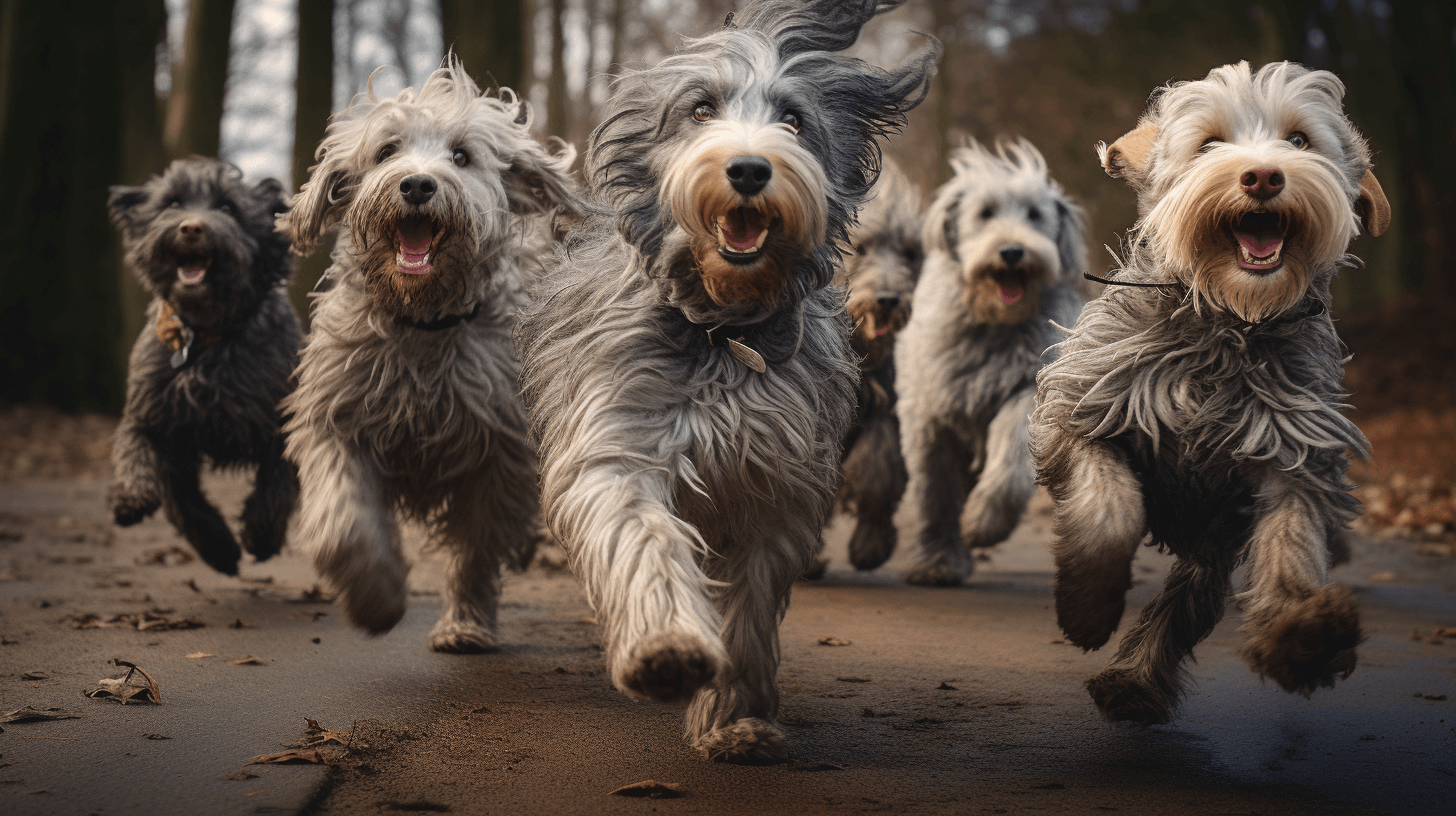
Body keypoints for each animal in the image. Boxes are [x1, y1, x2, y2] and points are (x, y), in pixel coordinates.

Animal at [107, 153, 304, 574]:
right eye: (173, 203)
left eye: (228, 208)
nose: (191, 227)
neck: (204, 337)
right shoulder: (153, 419)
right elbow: (159, 476)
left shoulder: (283, 425)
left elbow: (276, 487)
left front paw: (261, 535)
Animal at [278, 59, 579, 649]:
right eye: (386, 151)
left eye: (461, 156)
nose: (417, 183)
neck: (422, 322)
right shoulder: (337, 420)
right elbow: (342, 522)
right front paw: (376, 599)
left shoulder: (498, 450)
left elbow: (477, 550)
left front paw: (466, 623)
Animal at [518, 0, 937, 763]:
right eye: (701, 109)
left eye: (794, 119)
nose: (748, 168)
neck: (723, 333)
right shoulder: (621, 439)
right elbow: (643, 536)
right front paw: (666, 648)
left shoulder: (773, 481)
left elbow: (751, 605)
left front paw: (735, 718)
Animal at [891, 139, 1089, 585]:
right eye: (984, 213)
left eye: (1034, 214)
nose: (1013, 251)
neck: (996, 322)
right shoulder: (931, 413)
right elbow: (935, 491)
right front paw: (938, 562)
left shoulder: (1026, 389)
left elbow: (1011, 461)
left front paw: (982, 524)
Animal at [1030, 63, 1391, 725]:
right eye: (1208, 144)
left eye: (1299, 140)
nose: (1263, 175)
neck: (1227, 324)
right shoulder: (1083, 414)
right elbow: (1109, 508)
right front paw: (1087, 603)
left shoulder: (1293, 453)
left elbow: (1291, 540)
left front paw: (1304, 632)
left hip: (1212, 546)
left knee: (1184, 604)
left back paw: (1137, 680)